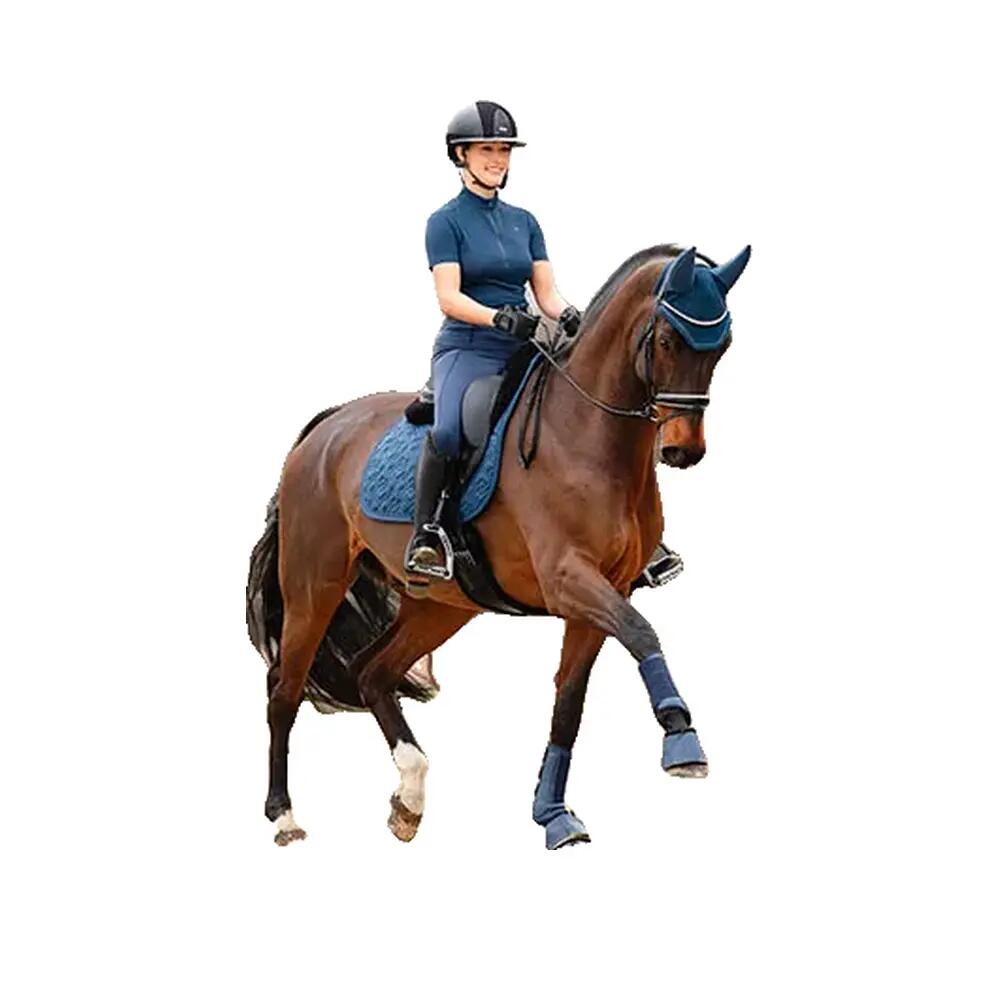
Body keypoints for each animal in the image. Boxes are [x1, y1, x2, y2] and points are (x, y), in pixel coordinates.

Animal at [246, 242, 750, 848]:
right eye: (669, 339)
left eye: (722, 344)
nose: (682, 450)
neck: (588, 438)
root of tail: (324, 429)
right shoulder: (568, 580)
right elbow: (641, 632)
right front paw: (681, 738)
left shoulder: (602, 594)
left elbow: (569, 704)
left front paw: (552, 813)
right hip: (314, 584)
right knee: (285, 689)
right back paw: (284, 815)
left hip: (439, 605)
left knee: (372, 673)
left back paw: (409, 796)